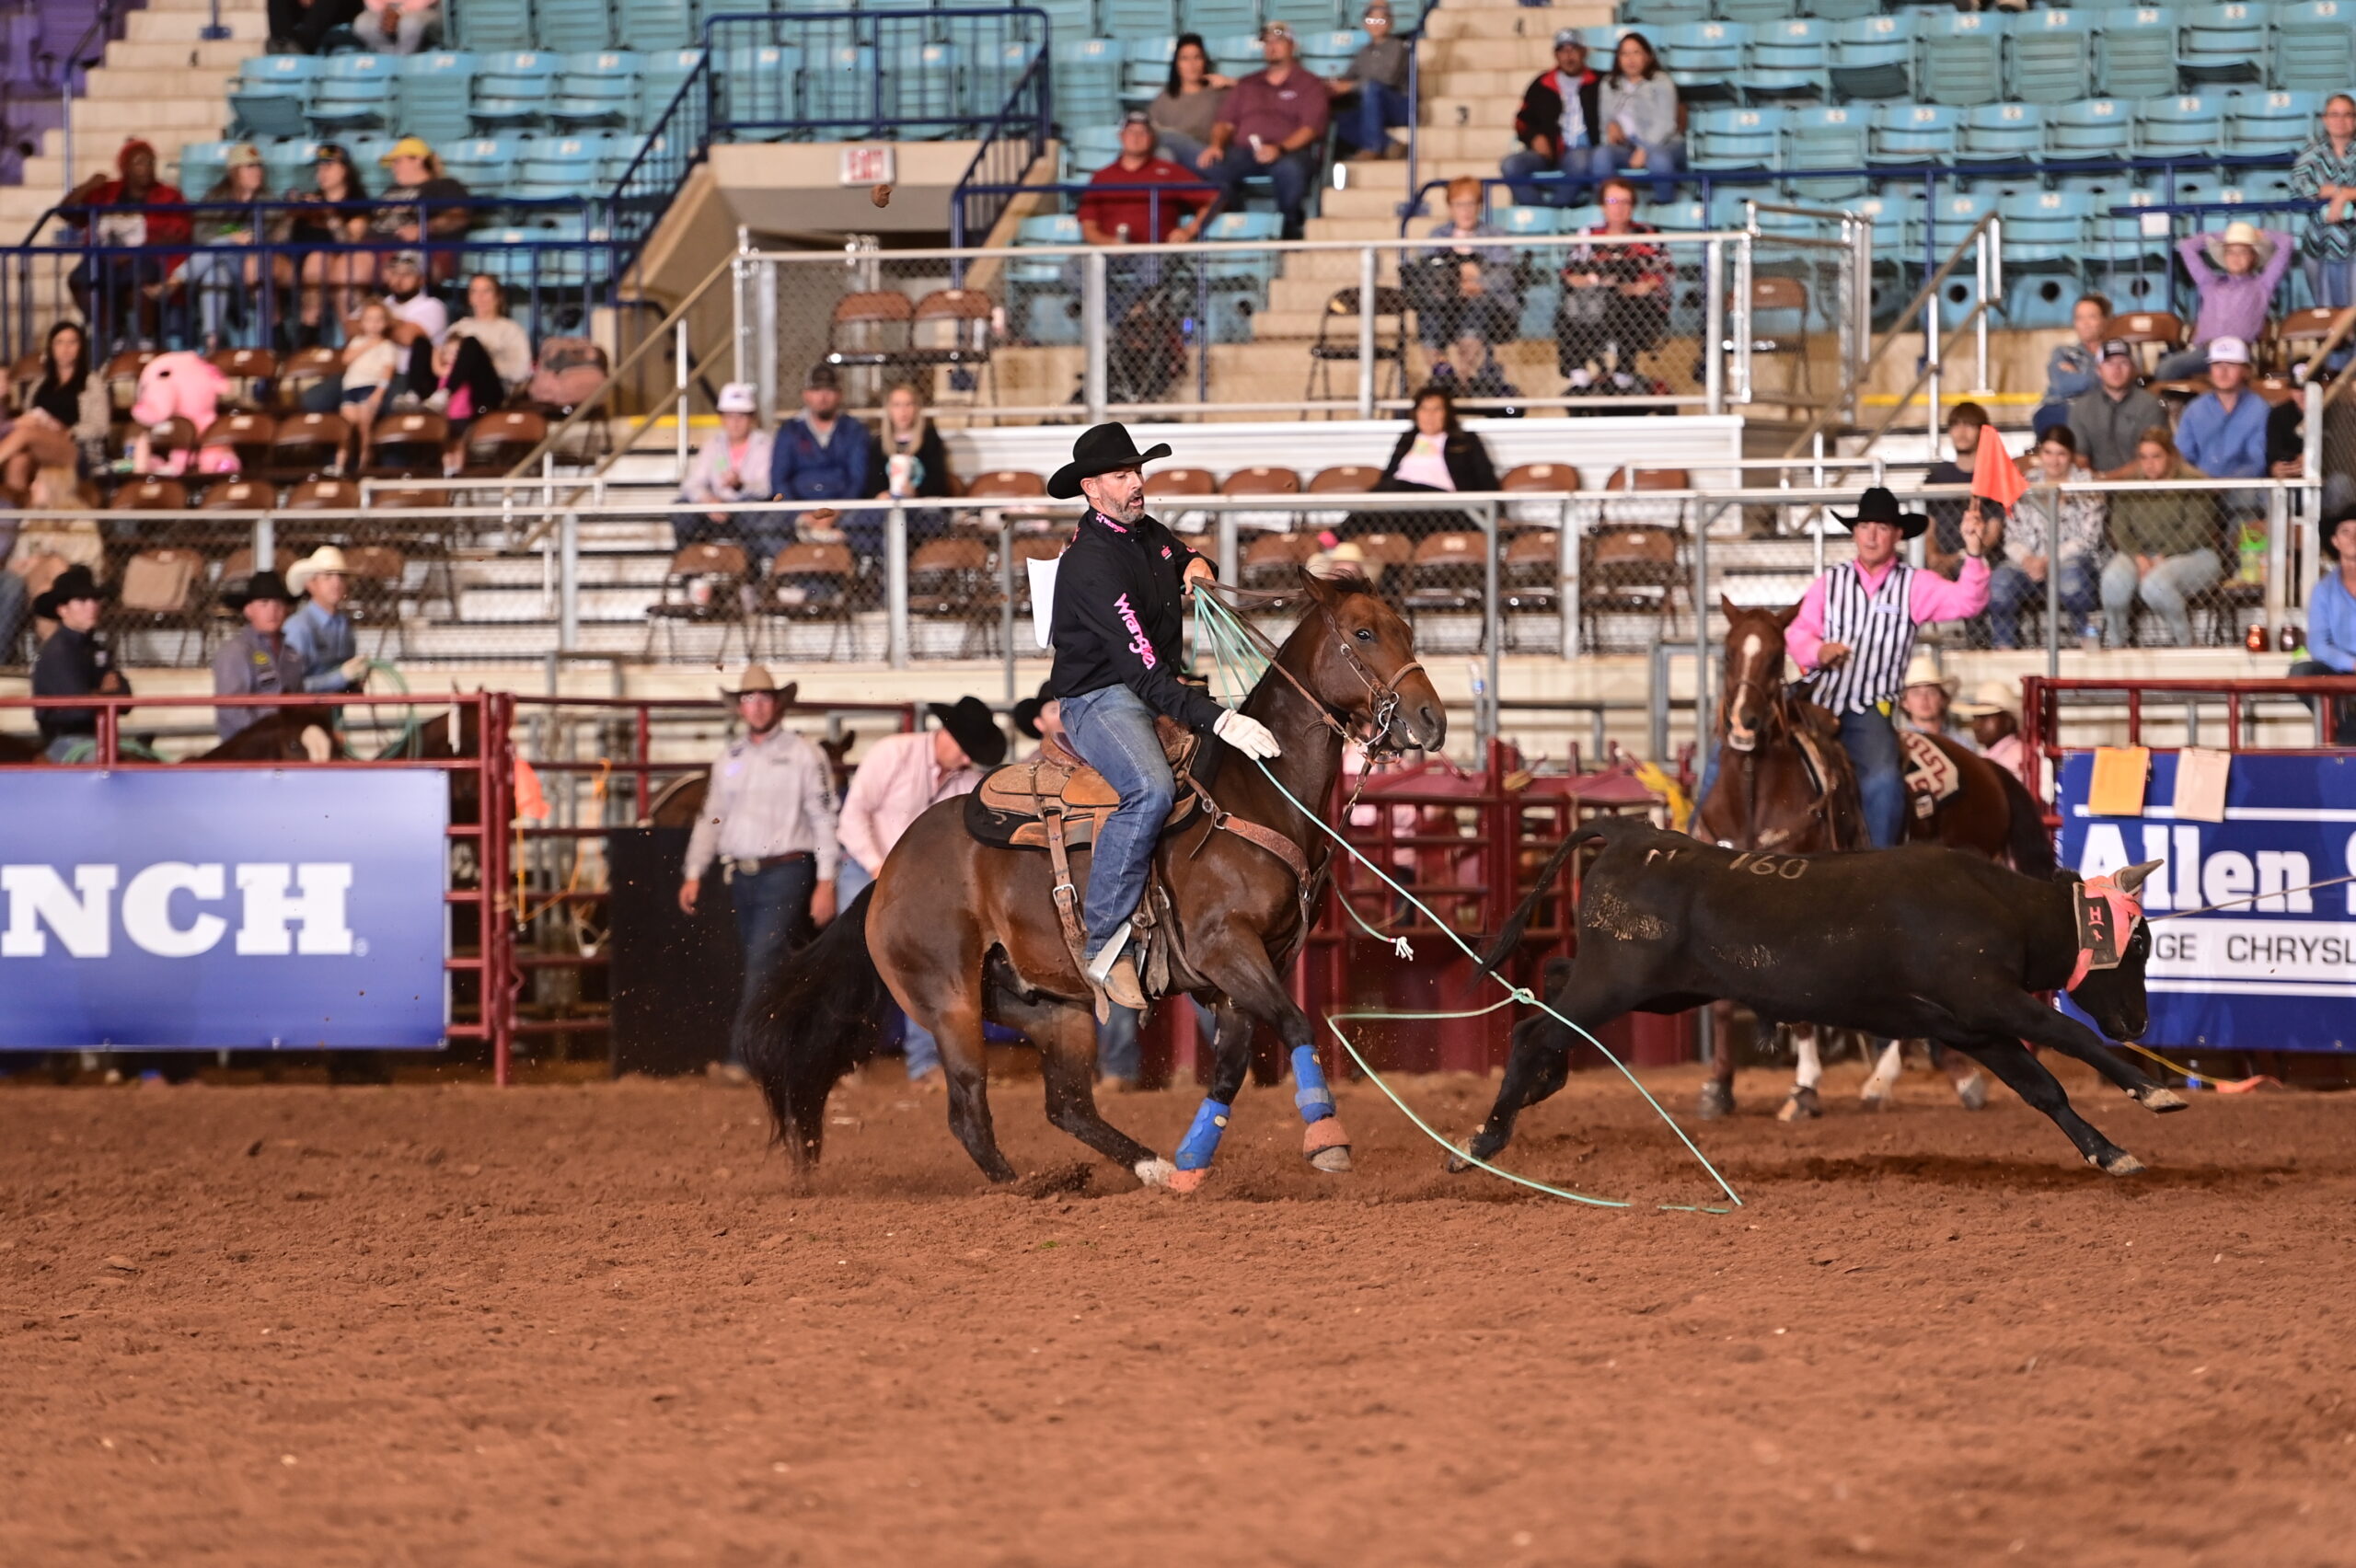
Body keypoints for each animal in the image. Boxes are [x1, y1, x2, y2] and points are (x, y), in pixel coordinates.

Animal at [734, 574, 1441, 1186]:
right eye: (1364, 633)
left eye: (1406, 629)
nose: (1431, 719)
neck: (1255, 793)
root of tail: (887, 873)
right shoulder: (1226, 949)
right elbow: (1296, 1025)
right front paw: (1328, 1142)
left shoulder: (1246, 971)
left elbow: (1230, 1068)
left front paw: (1192, 1164)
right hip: (948, 1001)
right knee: (969, 1110)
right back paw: (1026, 1188)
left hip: (1051, 1006)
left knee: (1068, 1104)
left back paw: (1152, 1169)